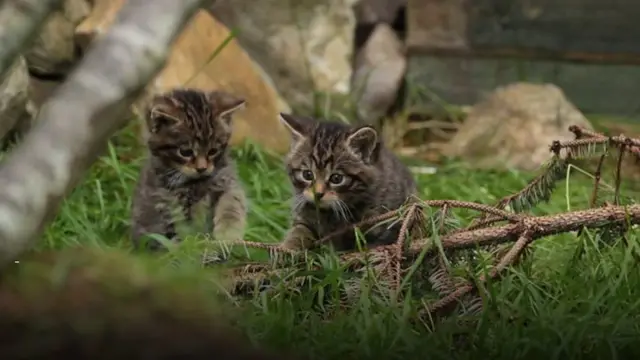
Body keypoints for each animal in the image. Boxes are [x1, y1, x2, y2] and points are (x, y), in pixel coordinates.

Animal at [130, 88, 248, 250]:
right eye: (185, 152)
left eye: (213, 151)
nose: (202, 168)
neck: (196, 183)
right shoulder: (166, 205)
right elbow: (177, 234)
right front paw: (188, 248)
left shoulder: (227, 180)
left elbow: (232, 201)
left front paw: (228, 233)